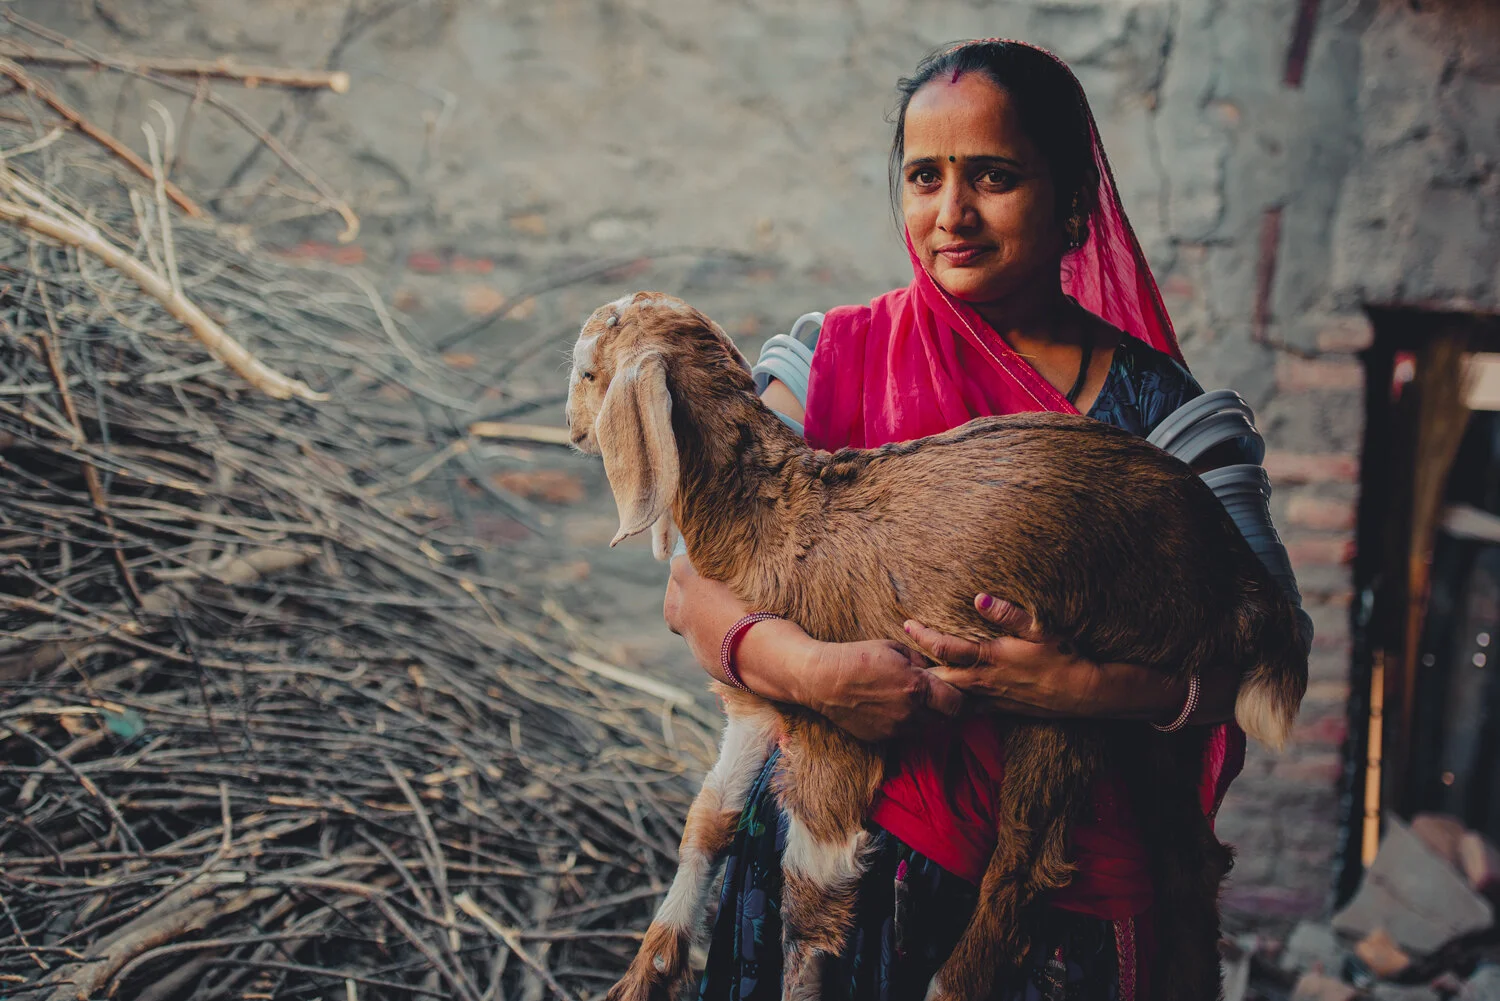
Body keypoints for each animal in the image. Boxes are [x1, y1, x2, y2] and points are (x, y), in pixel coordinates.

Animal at [565, 291, 1308, 1001]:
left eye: (588, 372)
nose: (571, 428)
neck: (771, 515)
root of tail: (1241, 571)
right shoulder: (760, 698)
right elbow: (709, 818)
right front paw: (647, 970)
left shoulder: (833, 735)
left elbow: (810, 903)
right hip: (1163, 703)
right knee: (1189, 858)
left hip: (1074, 682)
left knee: (1029, 864)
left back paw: (952, 983)